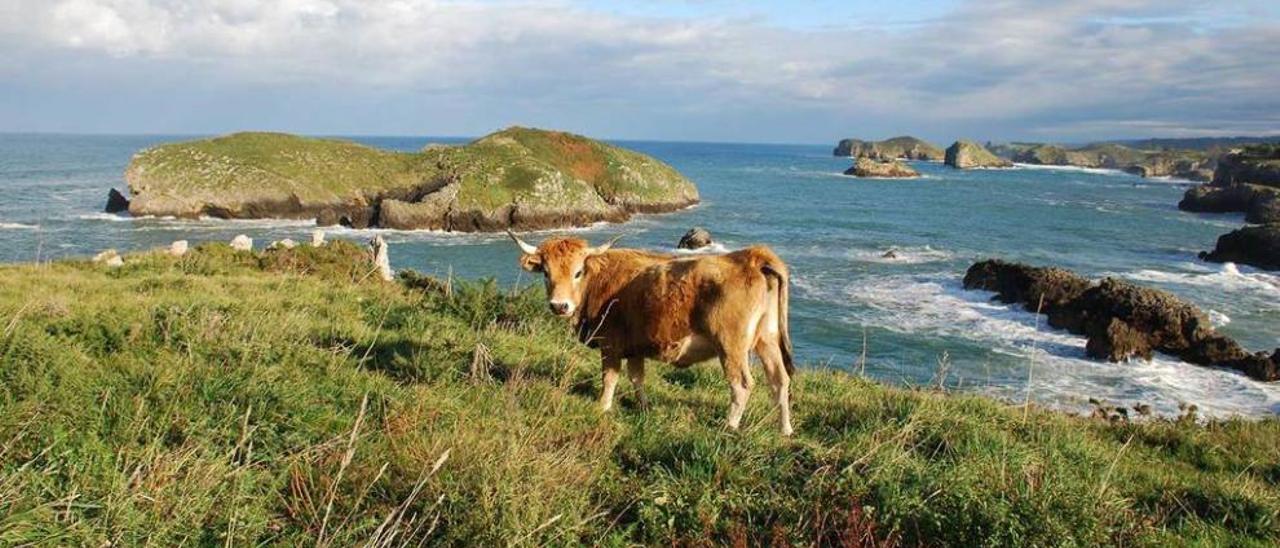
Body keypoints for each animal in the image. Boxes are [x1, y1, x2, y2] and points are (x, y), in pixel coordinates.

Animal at [504, 231, 793, 437]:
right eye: (546, 273)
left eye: (578, 272)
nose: (559, 306)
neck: (599, 282)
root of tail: (751, 256)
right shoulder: (635, 346)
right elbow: (636, 378)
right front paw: (643, 407)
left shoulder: (610, 345)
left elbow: (609, 378)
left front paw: (602, 407)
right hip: (766, 339)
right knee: (779, 380)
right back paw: (785, 430)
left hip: (731, 344)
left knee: (741, 384)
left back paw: (729, 426)